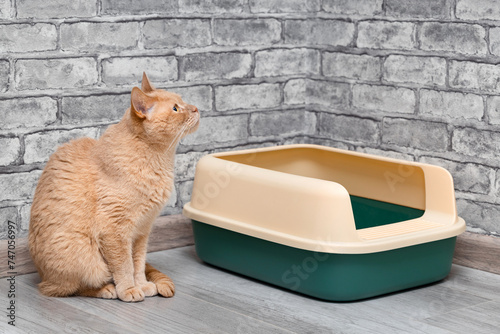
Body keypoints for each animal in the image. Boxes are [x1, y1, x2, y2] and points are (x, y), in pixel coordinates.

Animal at [28, 73, 199, 302]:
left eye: (183, 102)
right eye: (175, 108)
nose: (196, 108)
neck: (159, 159)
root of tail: (40, 274)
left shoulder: (142, 232)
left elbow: (138, 264)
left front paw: (142, 285)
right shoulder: (115, 230)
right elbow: (124, 266)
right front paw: (128, 290)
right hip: (82, 255)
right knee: (67, 288)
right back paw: (107, 289)